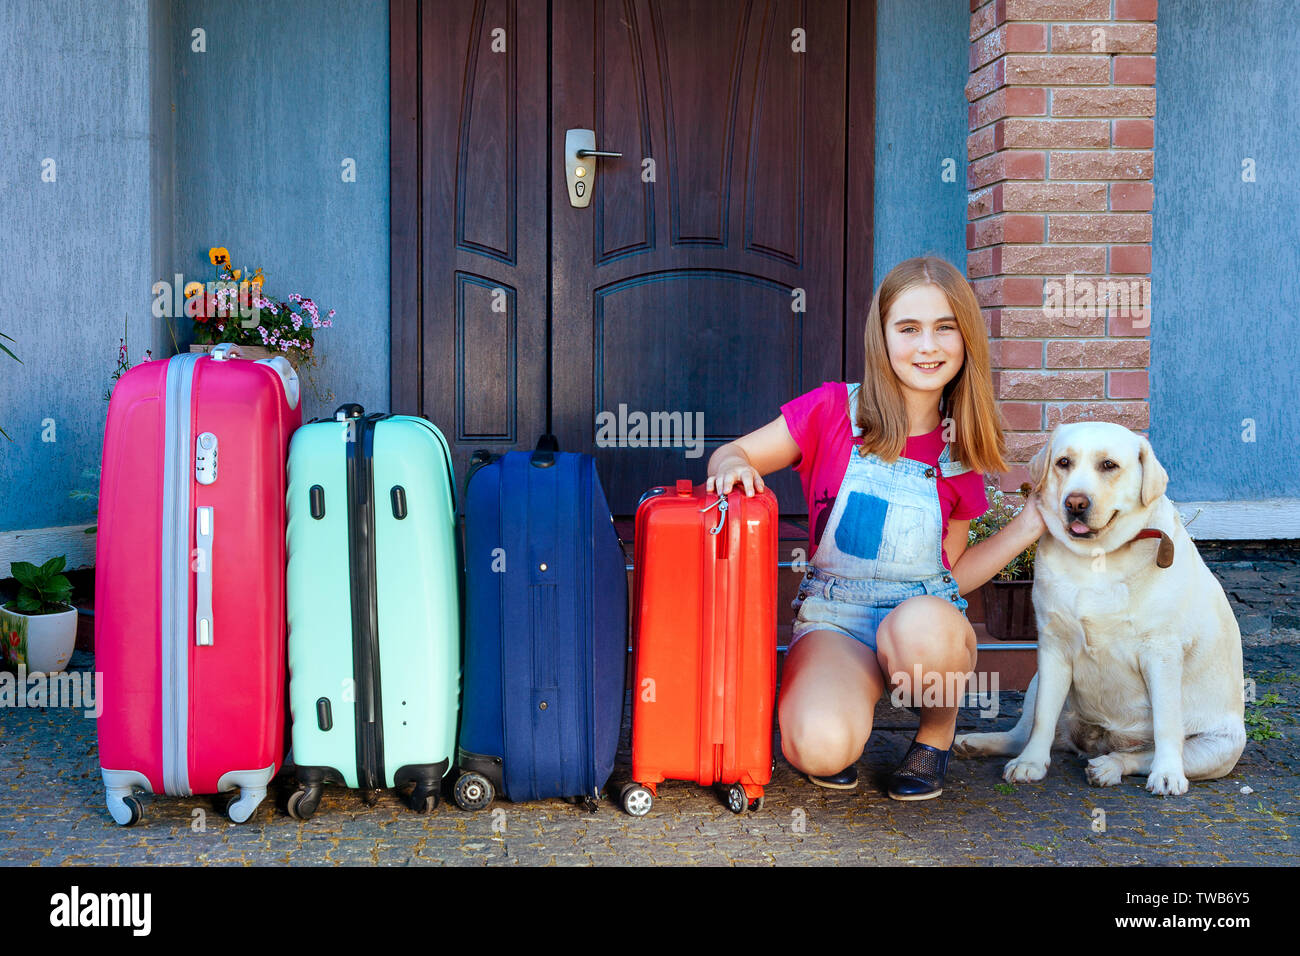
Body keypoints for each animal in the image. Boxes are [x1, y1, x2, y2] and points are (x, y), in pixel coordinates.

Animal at [956, 421, 1248, 796]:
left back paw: (1111, 766)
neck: (1096, 558)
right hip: (1036, 682)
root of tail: (1096, 744)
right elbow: (1043, 719)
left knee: (1140, 756)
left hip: (1219, 747)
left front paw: (1167, 773)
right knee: (1022, 734)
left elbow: (1167, 724)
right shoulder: (1053, 647)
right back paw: (978, 743)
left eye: (1108, 465)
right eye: (1063, 462)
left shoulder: (1162, 653)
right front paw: (1031, 764)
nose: (1075, 502)